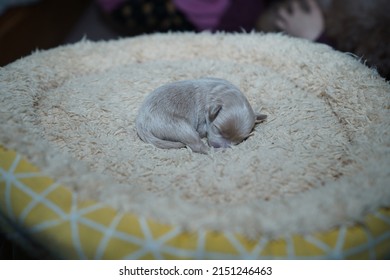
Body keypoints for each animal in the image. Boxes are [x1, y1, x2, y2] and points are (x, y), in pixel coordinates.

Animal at [136, 77, 266, 154]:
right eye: (217, 128)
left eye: (239, 140)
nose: (219, 146)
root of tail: (141, 125)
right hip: (179, 127)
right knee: (198, 146)